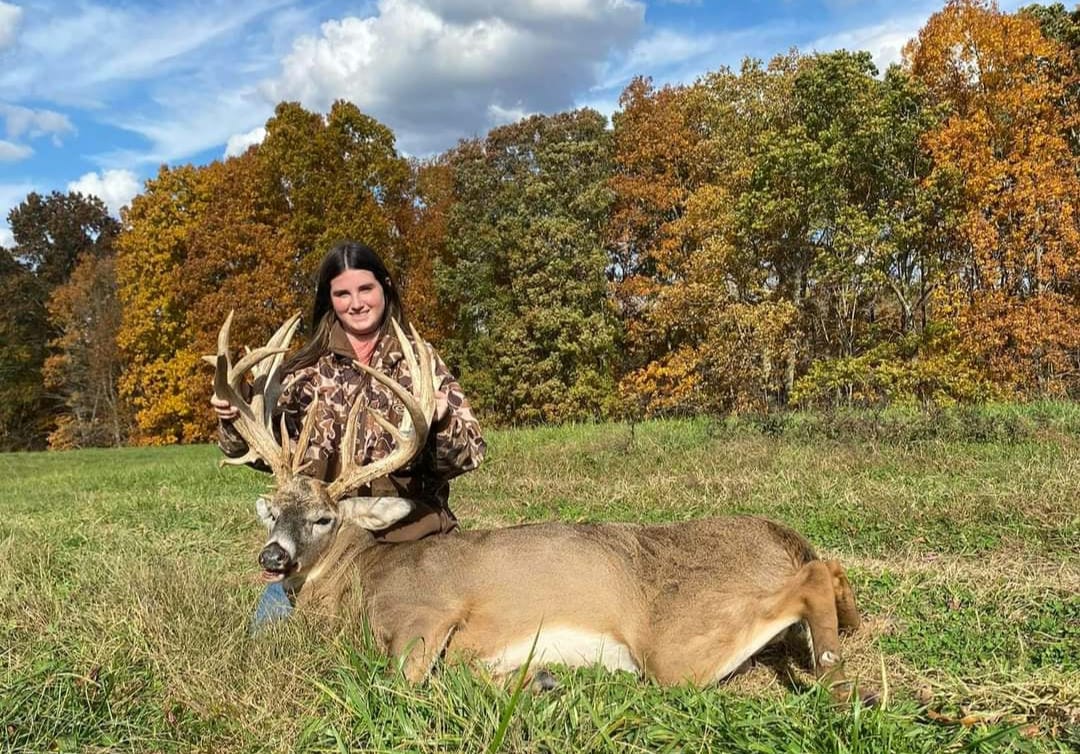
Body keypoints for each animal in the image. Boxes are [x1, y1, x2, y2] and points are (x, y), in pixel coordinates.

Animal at [212, 312, 870, 702]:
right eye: (270, 510)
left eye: (323, 518)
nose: (274, 557)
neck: (358, 584)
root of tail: (780, 536)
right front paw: (537, 676)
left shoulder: (426, 612)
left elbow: (409, 680)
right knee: (833, 570)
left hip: (675, 643)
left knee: (813, 580)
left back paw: (841, 684)